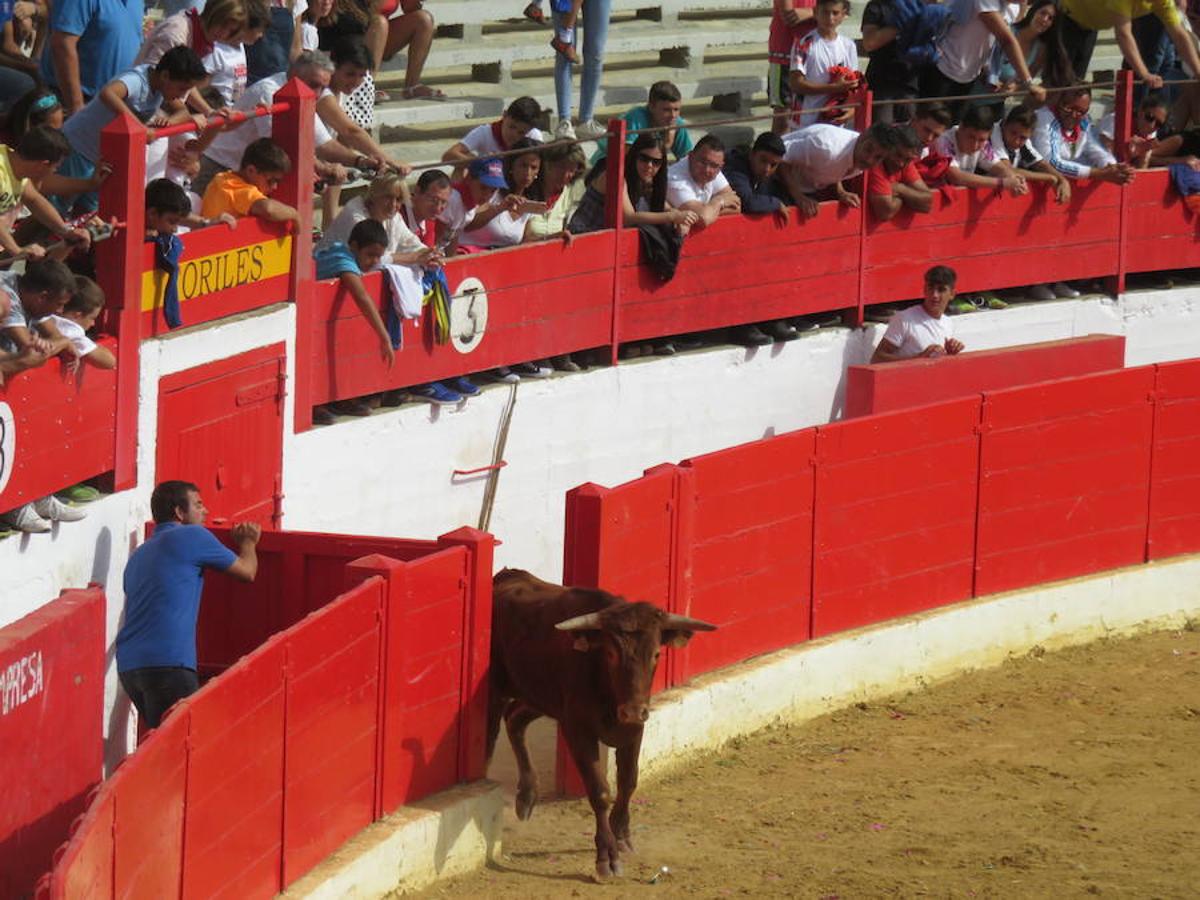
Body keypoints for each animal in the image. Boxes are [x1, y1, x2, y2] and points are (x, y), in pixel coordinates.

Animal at [484, 571, 710, 883]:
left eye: (655, 655)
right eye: (611, 654)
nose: (631, 710)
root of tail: (507, 577)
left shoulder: (635, 729)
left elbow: (629, 780)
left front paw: (622, 835)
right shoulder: (577, 730)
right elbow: (600, 791)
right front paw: (607, 857)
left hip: (541, 698)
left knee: (515, 719)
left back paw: (527, 796)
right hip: (496, 693)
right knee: (490, 738)